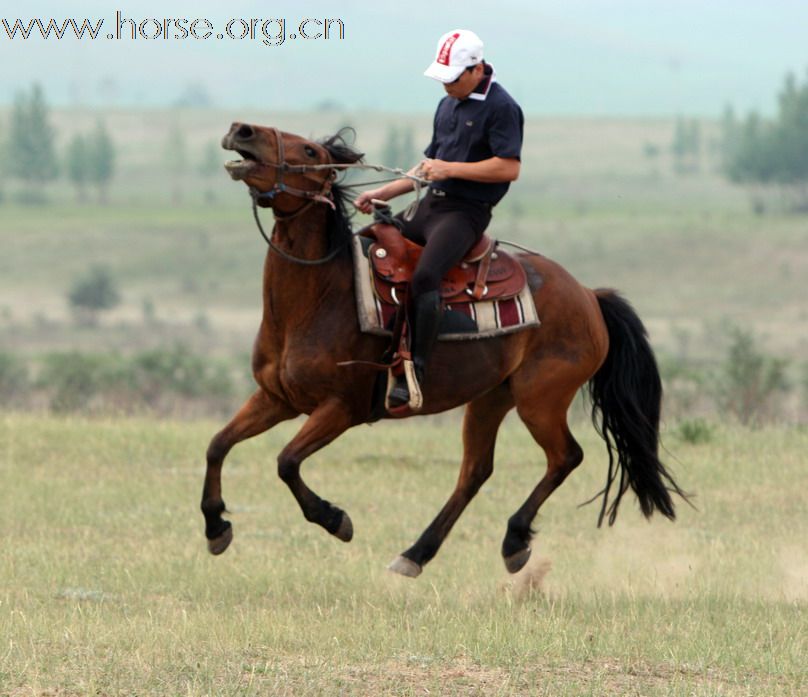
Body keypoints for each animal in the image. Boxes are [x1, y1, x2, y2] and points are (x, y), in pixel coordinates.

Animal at [204, 123, 688, 576]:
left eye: (309, 151)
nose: (241, 130)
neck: (320, 297)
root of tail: (588, 295)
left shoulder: (341, 408)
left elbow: (286, 461)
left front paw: (334, 518)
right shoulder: (277, 398)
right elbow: (217, 445)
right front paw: (215, 527)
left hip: (540, 400)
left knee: (565, 457)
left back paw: (513, 540)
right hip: (490, 398)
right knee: (475, 471)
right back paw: (416, 553)